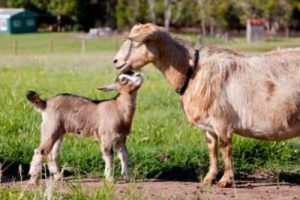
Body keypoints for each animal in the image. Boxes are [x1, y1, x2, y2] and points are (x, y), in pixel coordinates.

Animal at [112, 23, 300, 188]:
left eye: (136, 42)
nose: (116, 61)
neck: (193, 71)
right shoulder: (209, 125)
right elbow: (212, 148)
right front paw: (209, 178)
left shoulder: (222, 120)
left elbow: (225, 148)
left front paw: (226, 180)